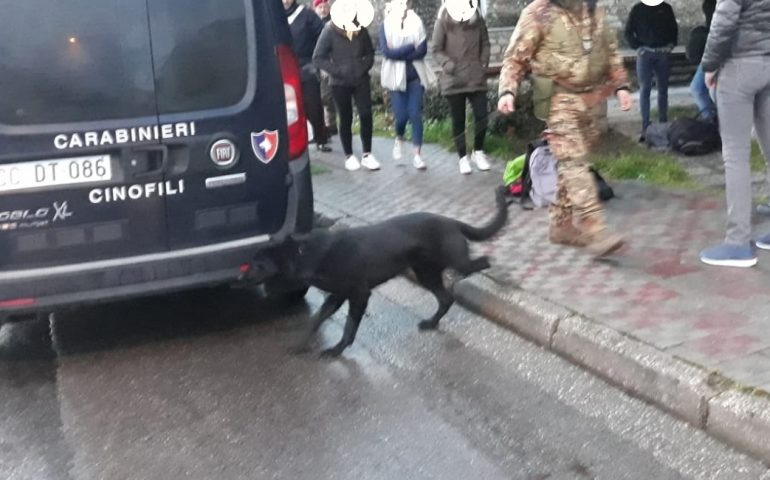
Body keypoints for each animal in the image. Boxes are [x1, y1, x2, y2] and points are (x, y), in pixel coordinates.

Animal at [274, 188, 504, 356]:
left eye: (271, 262)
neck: (318, 253)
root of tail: (451, 221)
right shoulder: (337, 296)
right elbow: (316, 319)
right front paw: (300, 345)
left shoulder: (359, 295)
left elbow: (349, 326)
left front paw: (337, 350)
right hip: (426, 274)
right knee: (446, 298)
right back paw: (431, 323)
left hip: (452, 262)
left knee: (483, 262)